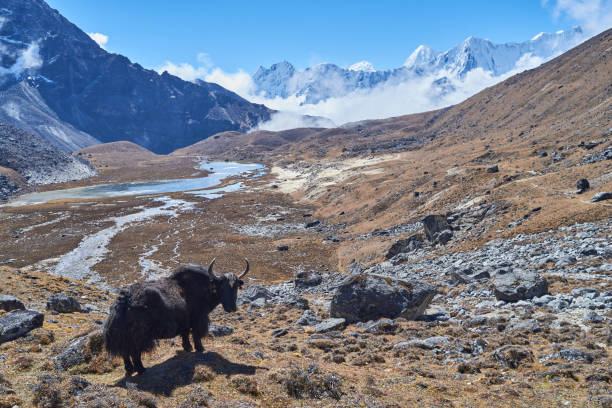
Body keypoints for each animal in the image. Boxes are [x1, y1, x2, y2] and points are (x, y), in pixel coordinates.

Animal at [104, 260, 247, 374]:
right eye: (222, 287)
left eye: (236, 288)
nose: (232, 308)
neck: (204, 288)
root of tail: (123, 299)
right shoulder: (198, 318)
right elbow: (196, 335)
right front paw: (200, 349)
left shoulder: (184, 321)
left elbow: (185, 334)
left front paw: (187, 348)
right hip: (138, 335)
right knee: (134, 352)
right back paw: (141, 369)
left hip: (124, 335)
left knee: (125, 352)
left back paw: (129, 369)